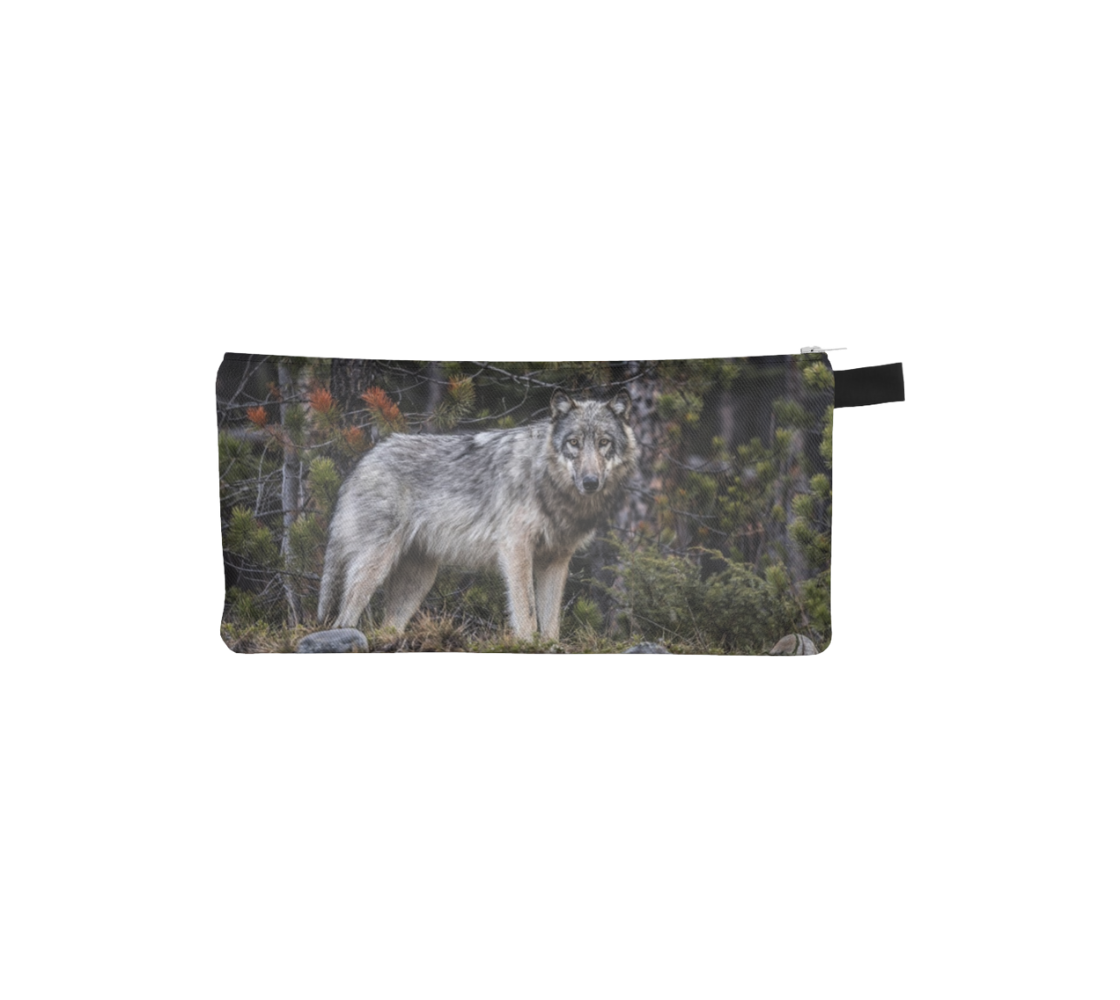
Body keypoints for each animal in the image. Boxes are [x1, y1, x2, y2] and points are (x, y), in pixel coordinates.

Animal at [317, 389, 637, 639]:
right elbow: (527, 613)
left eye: (604, 442)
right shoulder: (516, 549)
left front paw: (550, 645)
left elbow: (551, 622)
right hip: (375, 566)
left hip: (419, 580)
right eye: (574, 443)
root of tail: (363, 461)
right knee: (344, 618)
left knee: (388, 628)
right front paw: (529, 643)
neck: (547, 479)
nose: (590, 482)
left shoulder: (556, 560)